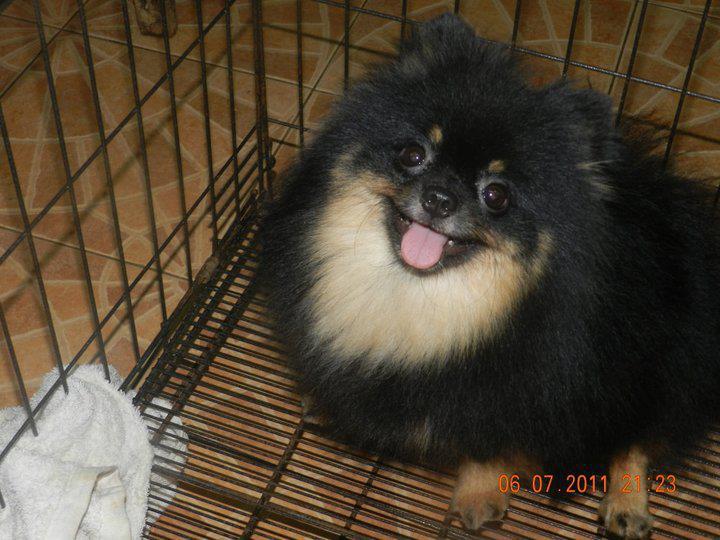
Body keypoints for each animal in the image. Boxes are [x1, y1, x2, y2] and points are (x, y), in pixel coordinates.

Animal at [259, 13, 720, 539]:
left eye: (496, 195)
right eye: (412, 154)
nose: (439, 198)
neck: (414, 298)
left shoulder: (518, 387)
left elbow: (489, 445)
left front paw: (478, 494)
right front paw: (324, 396)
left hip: (666, 363)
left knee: (639, 439)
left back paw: (627, 503)